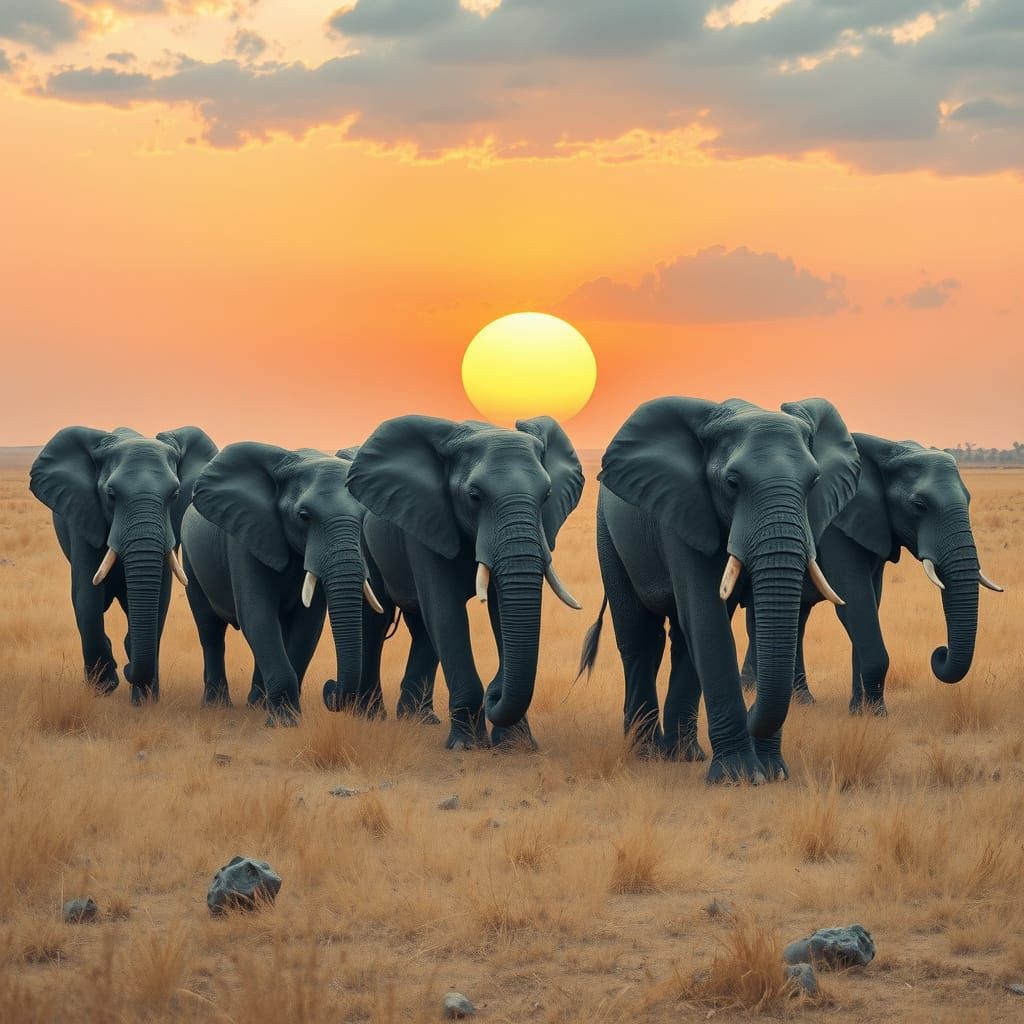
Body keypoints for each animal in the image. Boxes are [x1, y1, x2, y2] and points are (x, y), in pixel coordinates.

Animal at [29, 425, 218, 703]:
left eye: (175, 495)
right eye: (110, 495)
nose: (128, 667)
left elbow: (160, 600)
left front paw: (145, 699)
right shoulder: (83, 514)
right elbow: (87, 598)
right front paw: (104, 687)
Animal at [181, 443, 384, 723]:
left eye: (364, 516)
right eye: (304, 516)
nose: (329, 687)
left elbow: (306, 626)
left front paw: (285, 716)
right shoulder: (244, 540)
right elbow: (257, 615)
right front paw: (284, 723)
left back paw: (256, 704)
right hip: (191, 561)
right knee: (210, 630)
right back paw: (216, 705)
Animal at [334, 415, 585, 750]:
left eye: (546, 495)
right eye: (474, 496)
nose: (495, 692)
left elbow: (499, 614)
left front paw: (515, 746)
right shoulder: (426, 519)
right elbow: (447, 613)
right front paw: (467, 747)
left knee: (422, 628)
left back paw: (420, 719)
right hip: (363, 541)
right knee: (379, 619)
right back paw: (370, 716)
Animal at [578, 397, 859, 784]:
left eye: (814, 481)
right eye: (732, 483)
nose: (752, 707)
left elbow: (746, 622)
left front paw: (773, 772)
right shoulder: (683, 511)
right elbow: (707, 618)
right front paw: (740, 776)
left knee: (680, 641)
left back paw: (682, 754)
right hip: (608, 534)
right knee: (639, 635)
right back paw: (645, 752)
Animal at [740, 434, 1002, 715]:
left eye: (969, 500)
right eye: (919, 505)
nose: (939, 652)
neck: (888, 452)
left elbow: (869, 603)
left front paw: (859, 711)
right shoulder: (836, 526)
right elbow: (855, 602)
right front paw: (877, 714)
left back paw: (801, 700)